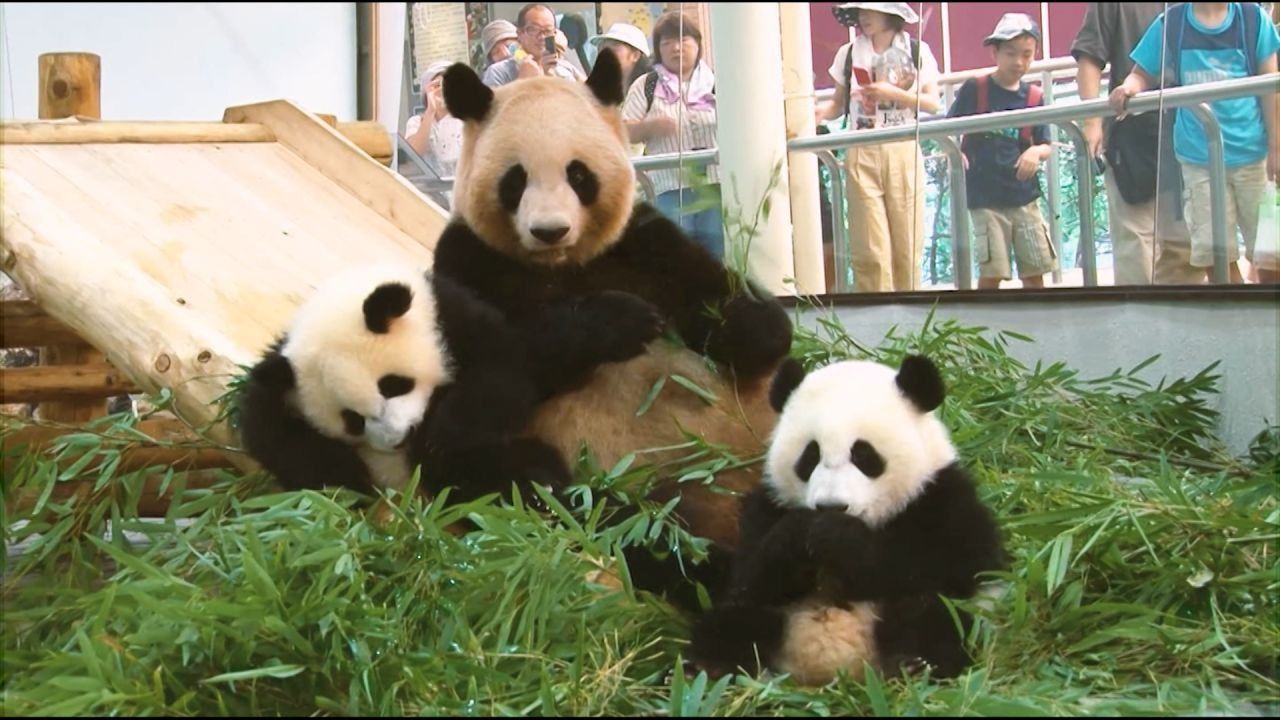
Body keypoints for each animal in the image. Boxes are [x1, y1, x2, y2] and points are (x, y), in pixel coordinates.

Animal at [237, 263, 570, 507]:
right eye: (353, 420)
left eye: (393, 385)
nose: (400, 438)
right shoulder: (277, 384)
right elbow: (274, 434)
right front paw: (348, 476)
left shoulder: (447, 317)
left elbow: (498, 370)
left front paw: (443, 436)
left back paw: (541, 491)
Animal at [434, 49, 794, 604]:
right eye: (515, 180)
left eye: (578, 175)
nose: (550, 230)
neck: (560, 267)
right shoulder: (465, 263)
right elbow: (478, 382)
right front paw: (620, 320)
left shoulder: (643, 242)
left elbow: (722, 302)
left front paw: (755, 330)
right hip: (605, 486)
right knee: (574, 504)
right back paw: (713, 569)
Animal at [687, 355, 1006, 686]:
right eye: (810, 456)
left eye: (863, 455)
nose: (831, 506)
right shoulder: (767, 505)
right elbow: (750, 575)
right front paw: (800, 533)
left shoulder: (942, 498)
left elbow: (940, 565)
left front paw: (835, 535)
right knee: (740, 616)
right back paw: (711, 664)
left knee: (931, 614)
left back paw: (915, 664)